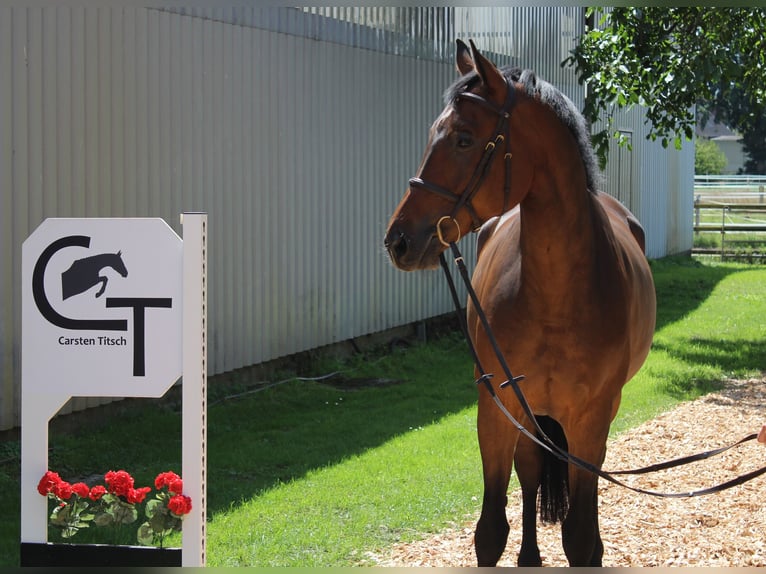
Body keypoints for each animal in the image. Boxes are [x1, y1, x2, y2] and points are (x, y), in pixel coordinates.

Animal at [384, 39, 656, 567]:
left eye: (464, 139)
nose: (398, 240)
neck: (555, 296)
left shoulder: (591, 420)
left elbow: (582, 538)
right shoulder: (496, 408)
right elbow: (490, 530)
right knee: (529, 472)